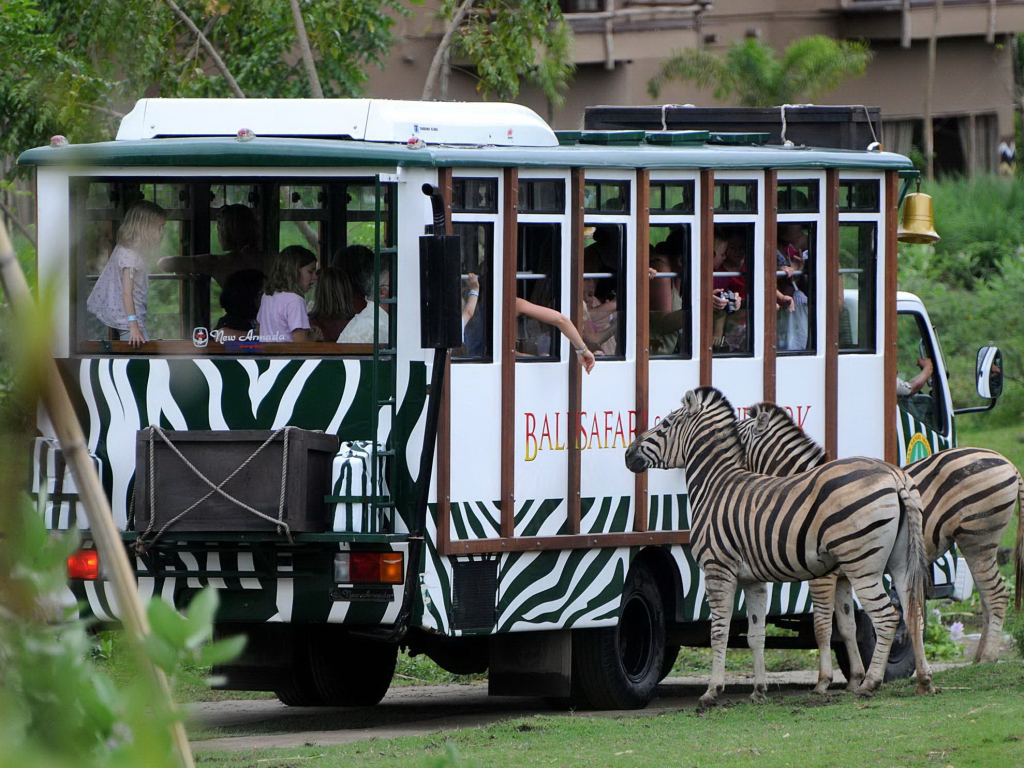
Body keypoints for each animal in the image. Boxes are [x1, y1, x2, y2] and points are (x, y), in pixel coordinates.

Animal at [624, 386, 934, 708]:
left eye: (665, 425)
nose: (628, 454)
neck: (715, 484)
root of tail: (895, 476)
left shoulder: (718, 569)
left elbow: (721, 632)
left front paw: (712, 692)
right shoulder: (755, 579)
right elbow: (757, 634)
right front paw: (759, 690)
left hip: (862, 564)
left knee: (887, 617)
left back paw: (871, 684)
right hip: (899, 562)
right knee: (914, 612)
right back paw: (923, 680)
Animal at [739, 401, 1024, 683]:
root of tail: (1008, 463)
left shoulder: (823, 576)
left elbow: (822, 626)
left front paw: (825, 680)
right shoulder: (843, 576)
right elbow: (847, 626)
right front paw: (856, 677)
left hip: (979, 540)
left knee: (996, 595)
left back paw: (988, 658)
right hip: (974, 545)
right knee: (986, 598)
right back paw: (979, 657)